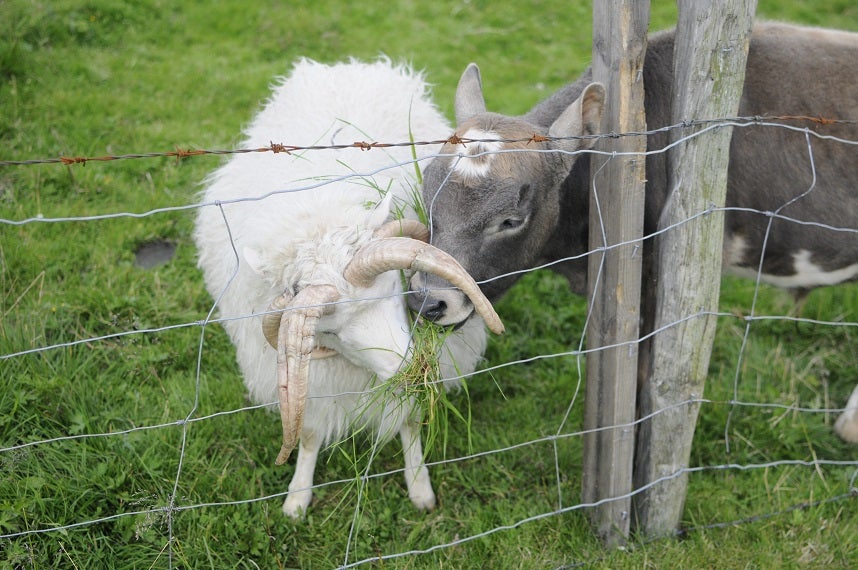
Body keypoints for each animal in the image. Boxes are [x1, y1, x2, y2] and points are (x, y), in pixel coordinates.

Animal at [194, 57, 502, 516]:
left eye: (393, 288)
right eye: (331, 332)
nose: (410, 371)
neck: (316, 210)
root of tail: (345, 66)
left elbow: (410, 420)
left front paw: (420, 486)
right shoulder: (315, 382)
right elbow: (307, 436)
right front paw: (298, 495)